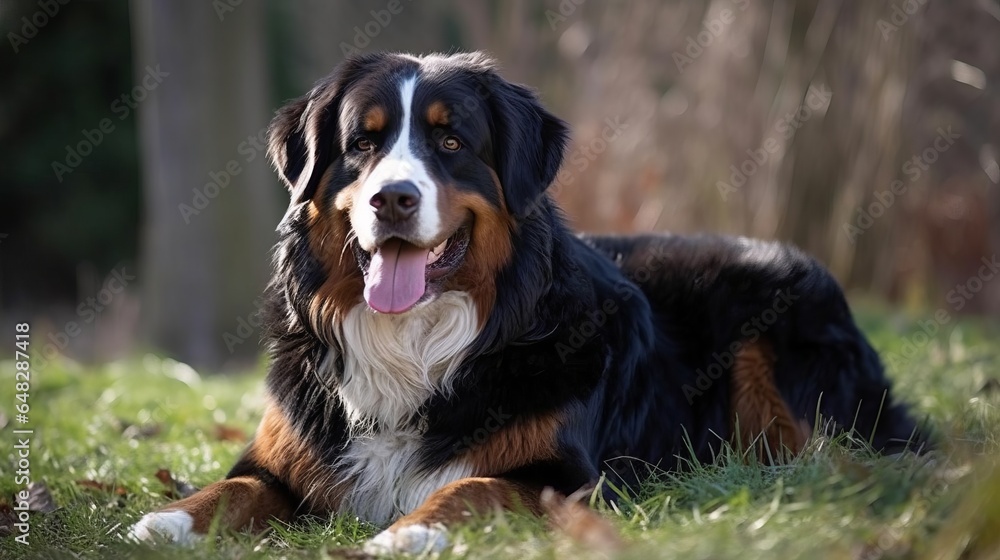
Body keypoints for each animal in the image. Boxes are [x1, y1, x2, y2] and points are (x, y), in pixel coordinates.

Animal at [129, 52, 924, 556]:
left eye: (451, 141)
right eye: (363, 142)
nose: (393, 198)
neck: (416, 341)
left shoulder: (561, 478)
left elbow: (472, 486)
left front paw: (407, 532)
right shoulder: (281, 459)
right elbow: (229, 488)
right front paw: (161, 524)